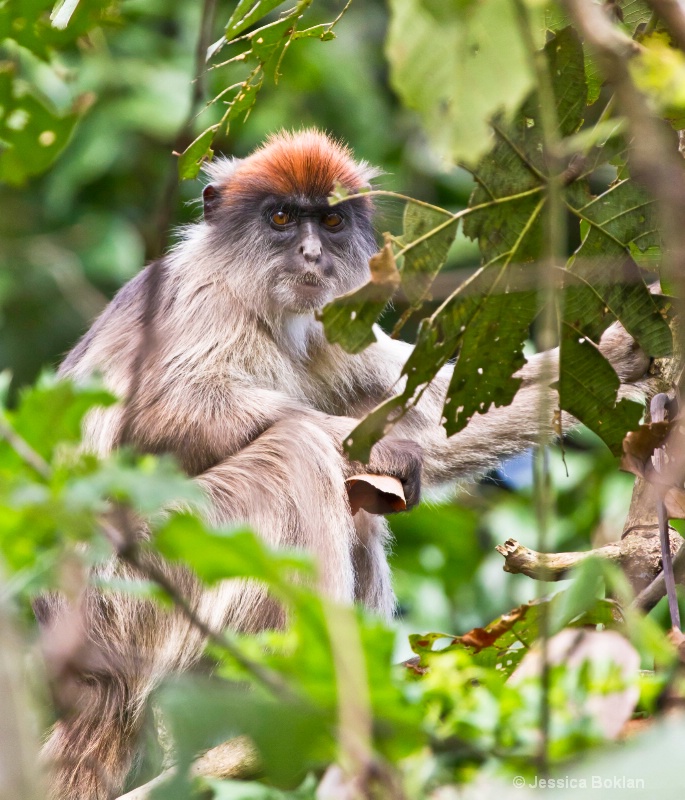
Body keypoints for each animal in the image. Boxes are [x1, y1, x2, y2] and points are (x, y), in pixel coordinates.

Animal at [40, 128, 648, 796]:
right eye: (281, 218)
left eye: (330, 221)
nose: (311, 255)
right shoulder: (205, 300)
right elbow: (161, 415)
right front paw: (382, 448)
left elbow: (434, 424)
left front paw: (628, 351)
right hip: (139, 587)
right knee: (298, 450)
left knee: (356, 506)